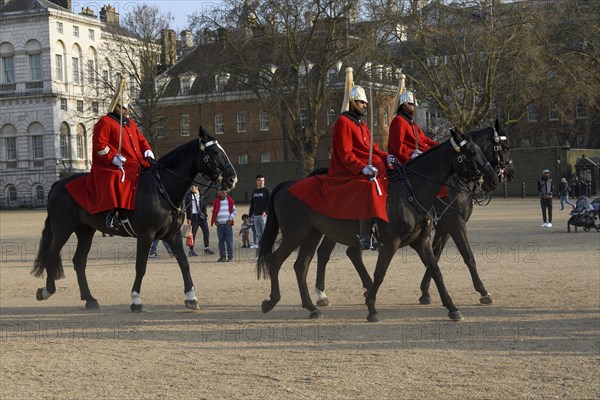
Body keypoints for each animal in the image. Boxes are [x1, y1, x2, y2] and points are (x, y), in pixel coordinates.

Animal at [31, 128, 237, 312]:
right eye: (215, 152)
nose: (232, 179)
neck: (162, 189)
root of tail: (59, 183)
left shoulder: (173, 235)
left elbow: (184, 263)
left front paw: (191, 297)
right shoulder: (146, 235)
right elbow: (141, 266)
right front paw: (136, 300)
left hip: (85, 231)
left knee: (79, 261)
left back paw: (90, 299)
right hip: (63, 228)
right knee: (51, 255)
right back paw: (47, 290)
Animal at [256, 128, 496, 322]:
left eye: (481, 149)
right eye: (471, 152)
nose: (494, 177)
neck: (411, 190)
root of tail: (288, 184)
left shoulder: (423, 240)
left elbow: (436, 269)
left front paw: (451, 306)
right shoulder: (396, 241)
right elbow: (381, 273)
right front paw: (371, 308)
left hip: (312, 235)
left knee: (302, 265)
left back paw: (311, 306)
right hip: (295, 235)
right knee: (276, 261)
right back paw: (273, 300)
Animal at [312, 121, 512, 306]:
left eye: (480, 150)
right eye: (503, 147)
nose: (500, 177)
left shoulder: (442, 228)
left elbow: (435, 255)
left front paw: (425, 291)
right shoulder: (455, 223)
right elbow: (468, 256)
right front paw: (483, 291)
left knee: (348, 253)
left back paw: (363, 288)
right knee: (325, 253)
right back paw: (323, 294)